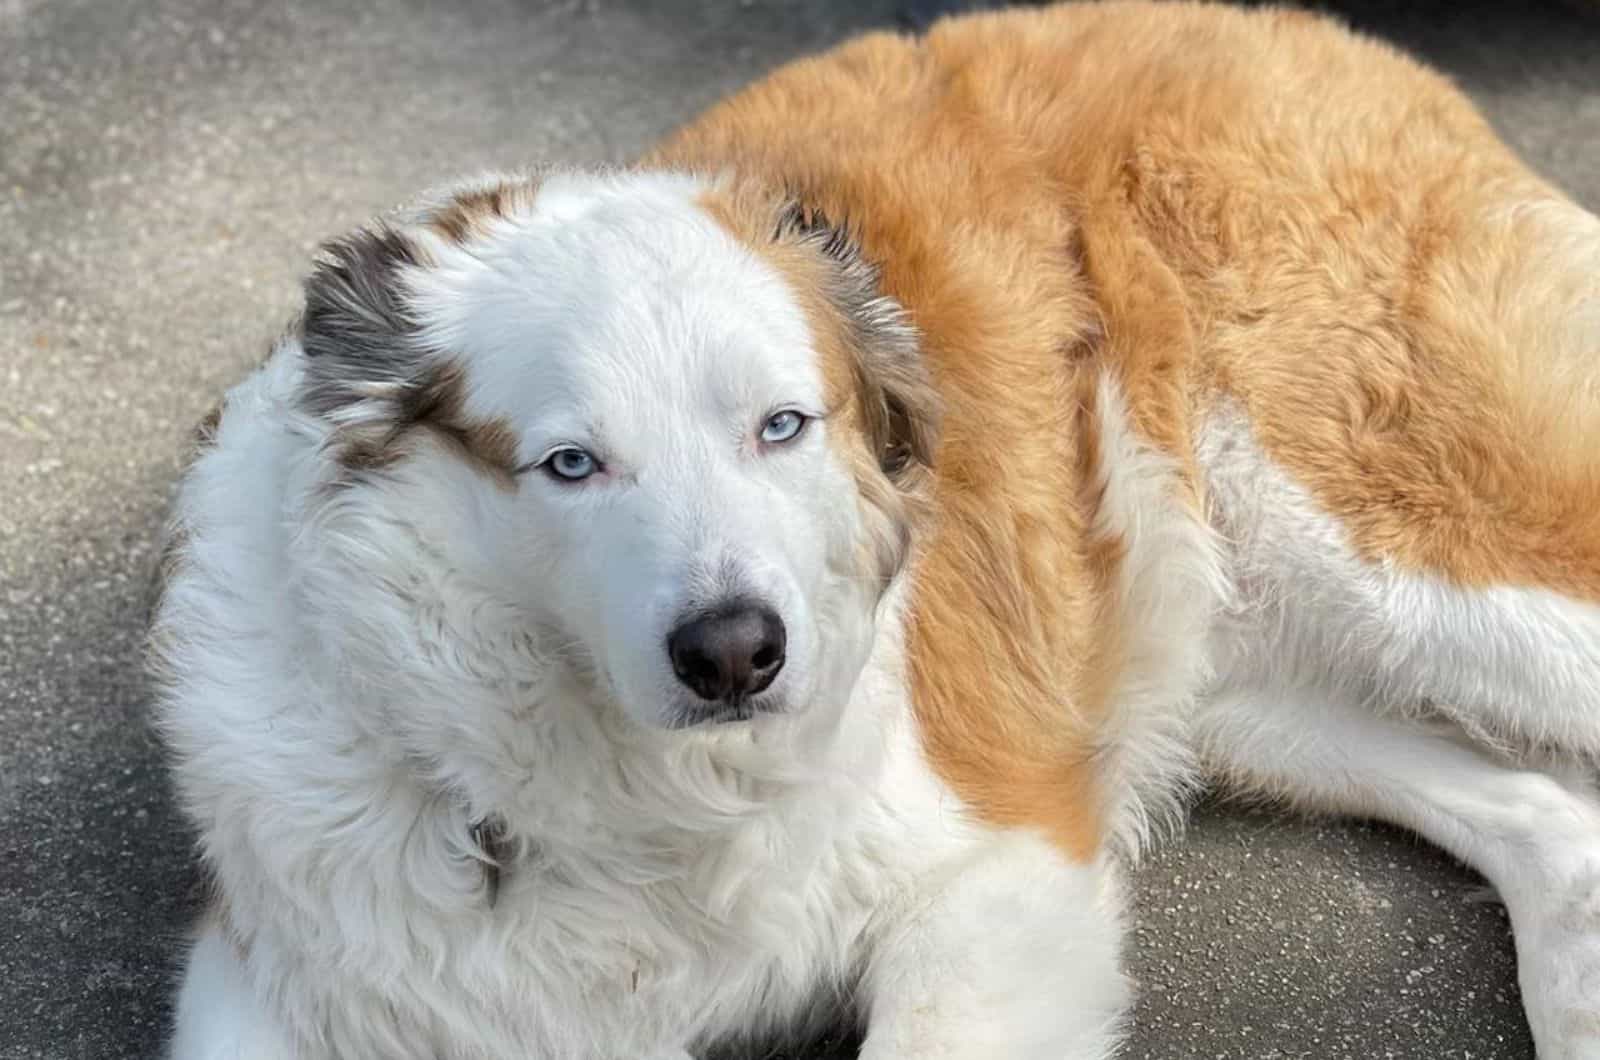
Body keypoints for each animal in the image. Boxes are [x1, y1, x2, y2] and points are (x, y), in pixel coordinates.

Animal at [156, 4, 1600, 1056]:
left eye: (782, 426)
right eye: (571, 463)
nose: (736, 653)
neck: (637, 798)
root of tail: (1302, 33)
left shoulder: (1005, 871)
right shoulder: (282, 971)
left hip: (1410, 555)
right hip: (1232, 681)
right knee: (1548, 815)